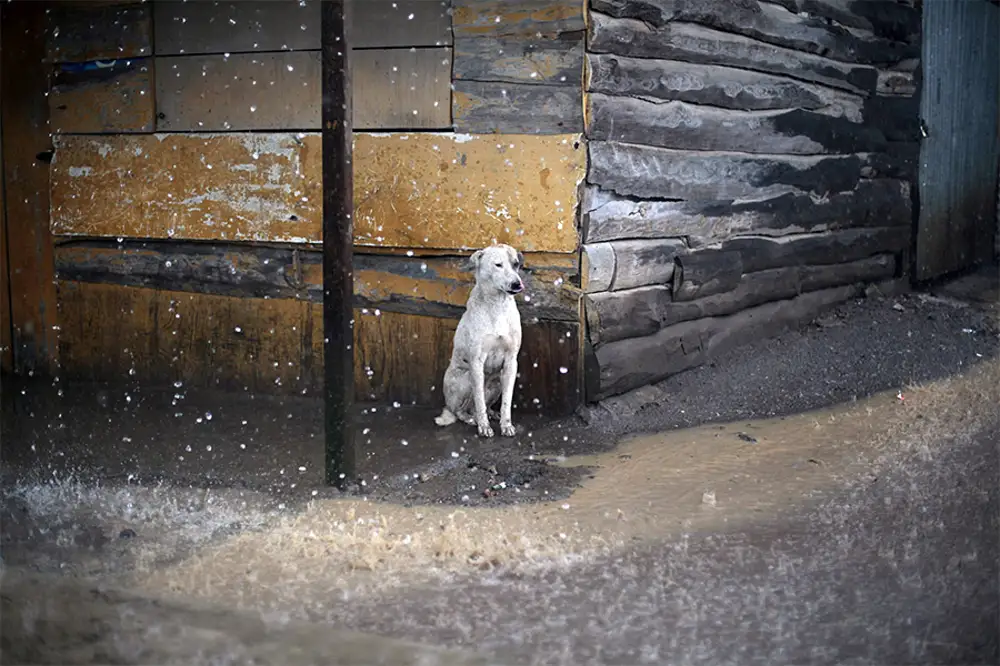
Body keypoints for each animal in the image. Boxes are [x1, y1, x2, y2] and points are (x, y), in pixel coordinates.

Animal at [436, 244, 528, 436]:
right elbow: (479, 401)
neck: (497, 306)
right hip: (465, 380)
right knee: (461, 411)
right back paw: (473, 419)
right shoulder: (477, 362)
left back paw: (492, 414)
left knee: (482, 405)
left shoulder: (511, 363)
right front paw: (484, 427)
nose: (517, 284)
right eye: (498, 265)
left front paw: (506, 425)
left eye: (516, 264)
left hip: (496, 383)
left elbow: (506, 403)